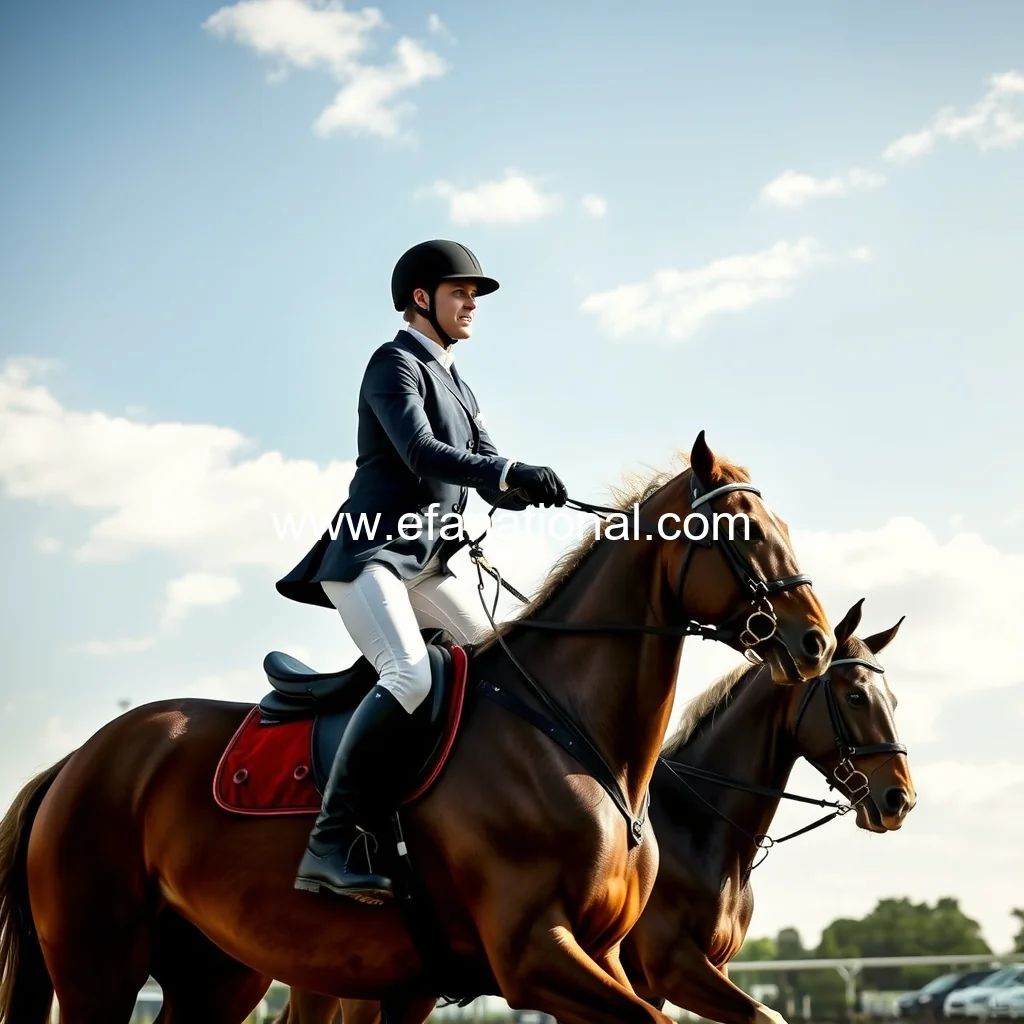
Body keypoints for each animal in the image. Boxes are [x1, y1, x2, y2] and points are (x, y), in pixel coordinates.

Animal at [0, 433, 835, 1024]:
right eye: (741, 529)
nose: (814, 643)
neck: (574, 736)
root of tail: (75, 761)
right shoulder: (536, 954)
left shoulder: (596, 957)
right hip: (100, 965)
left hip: (217, 973)